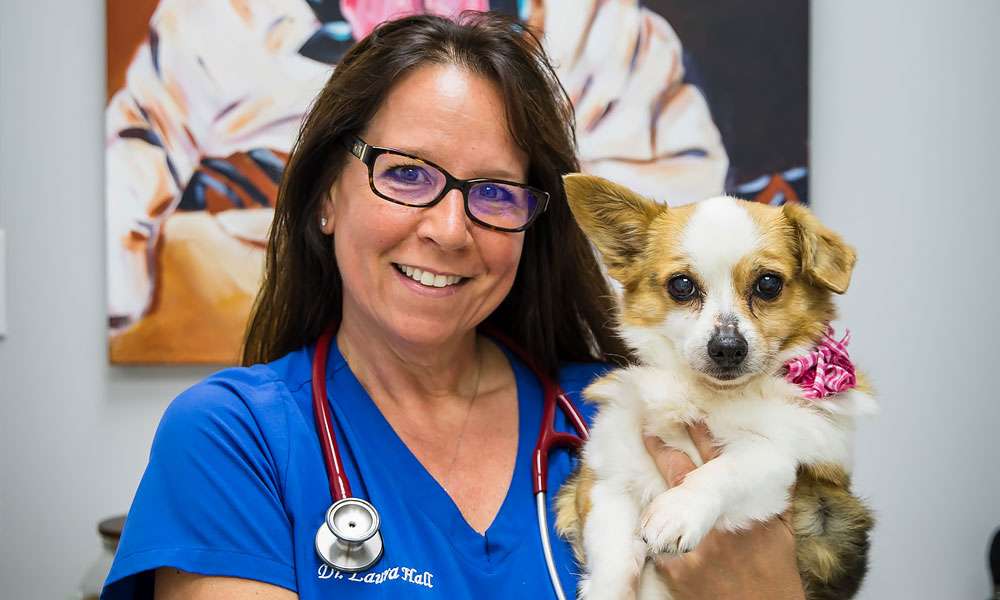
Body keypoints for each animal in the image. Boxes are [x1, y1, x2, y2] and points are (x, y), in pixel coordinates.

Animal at [560, 175, 880, 600]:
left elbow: (734, 464)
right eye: (681, 285)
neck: (710, 397)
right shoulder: (606, 477)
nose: (727, 347)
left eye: (768, 284)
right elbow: (613, 560)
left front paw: (678, 510)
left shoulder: (791, 465)